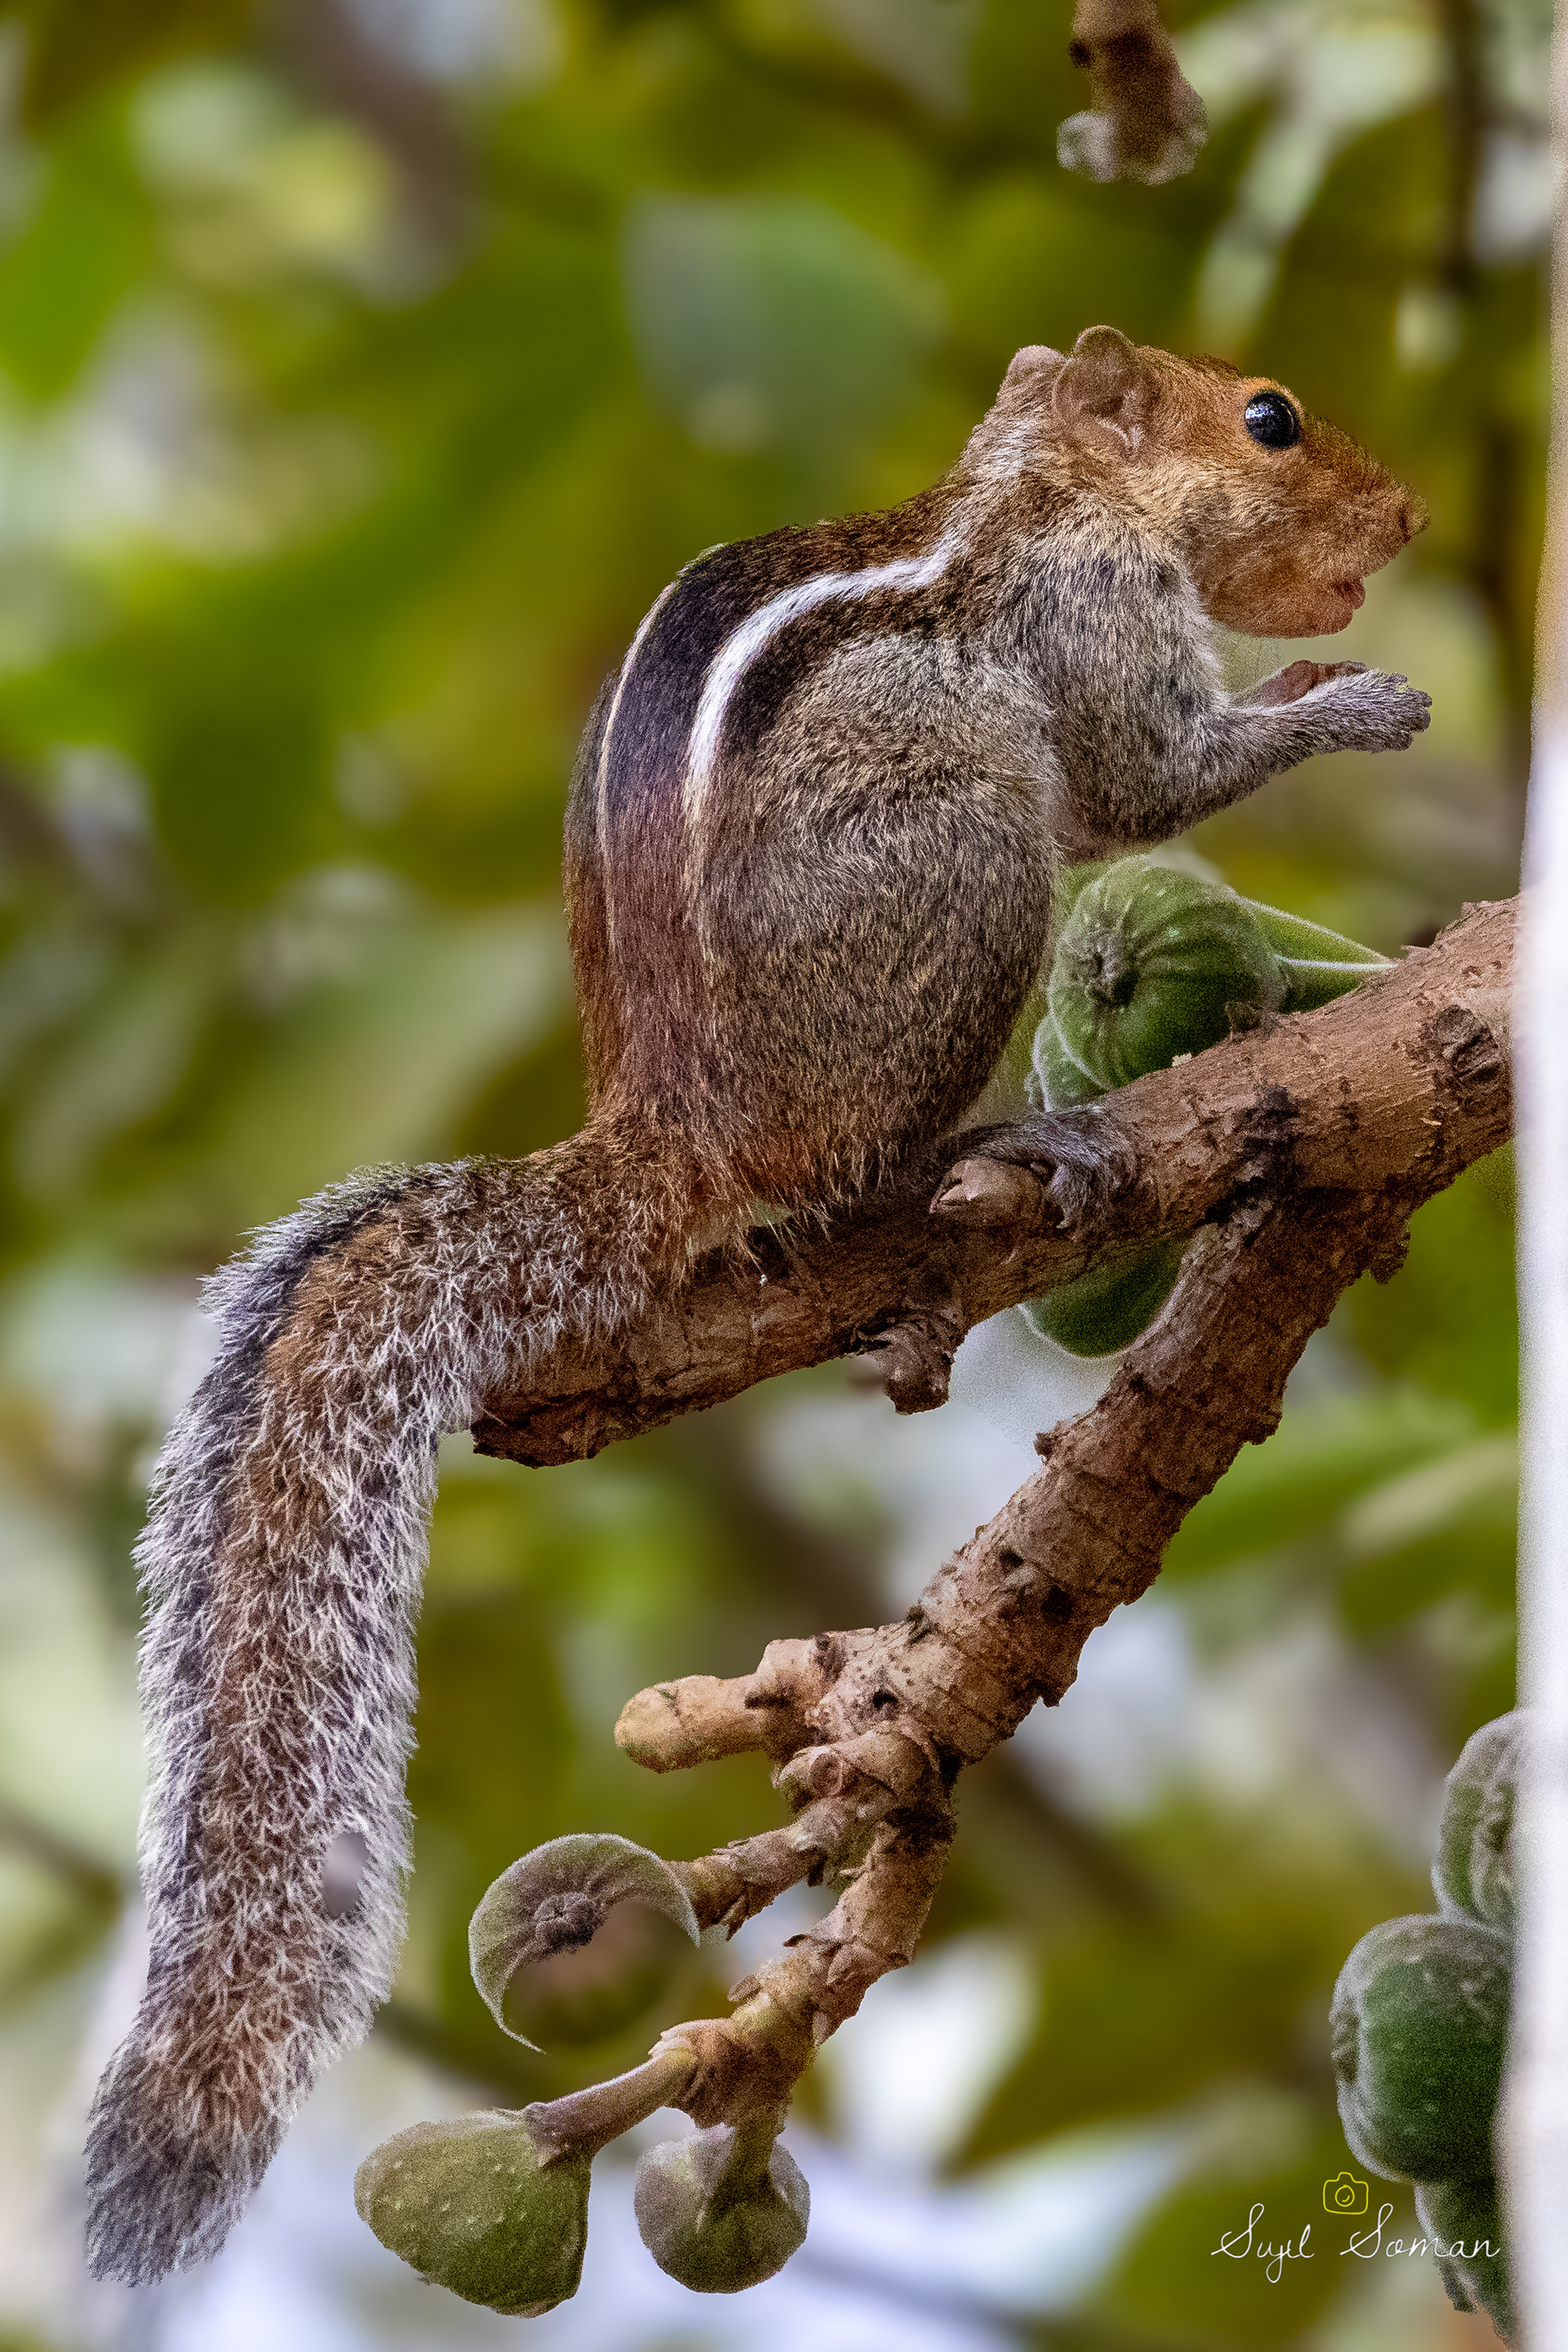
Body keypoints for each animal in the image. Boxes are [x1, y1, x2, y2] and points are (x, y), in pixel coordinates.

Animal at [84, 326, 1428, 2283]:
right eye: (1269, 419)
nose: (1408, 519)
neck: (1045, 492)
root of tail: (678, 1126)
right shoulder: (1096, 627)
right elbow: (1151, 777)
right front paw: (1353, 706)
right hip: (966, 854)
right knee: (883, 1151)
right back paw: (1017, 1135)